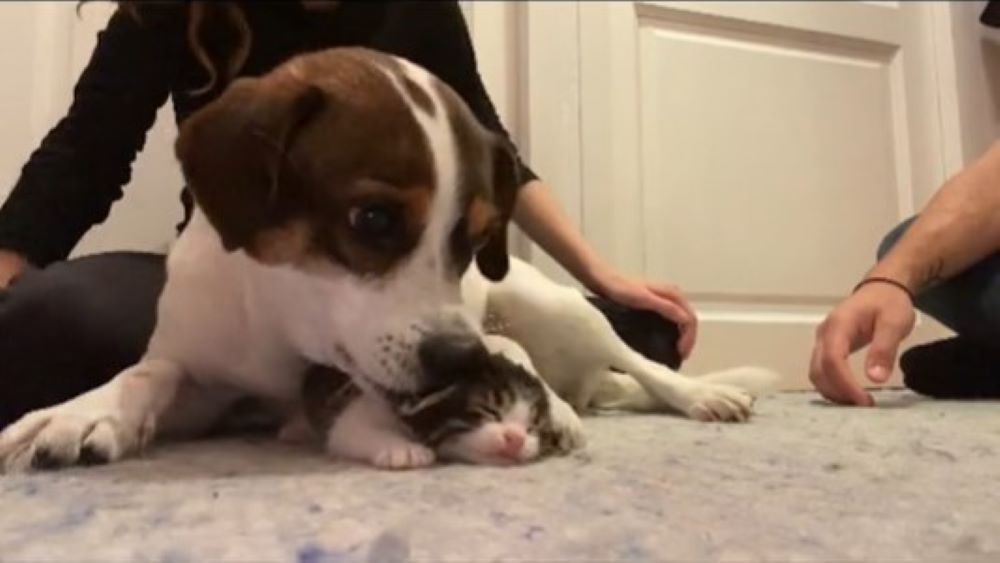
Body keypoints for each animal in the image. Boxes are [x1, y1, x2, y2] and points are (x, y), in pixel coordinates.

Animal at [0, 47, 776, 472]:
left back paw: (695, 395)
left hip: (549, 304)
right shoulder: (205, 373)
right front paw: (85, 411)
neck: (287, 327)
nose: (461, 361)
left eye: (476, 238)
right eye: (372, 218)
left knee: (629, 361)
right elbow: (151, 371)